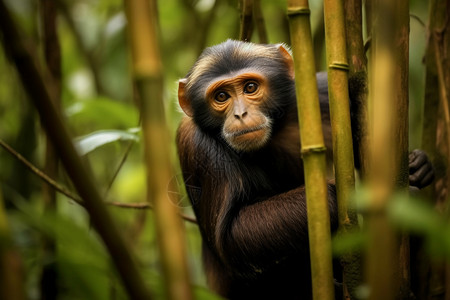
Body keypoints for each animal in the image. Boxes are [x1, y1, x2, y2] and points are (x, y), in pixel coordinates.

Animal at [175, 40, 432, 300]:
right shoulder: (199, 148)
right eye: (221, 96)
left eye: (250, 87)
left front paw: (417, 165)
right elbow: (231, 237)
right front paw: (359, 198)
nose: (240, 113)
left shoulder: (322, 92)